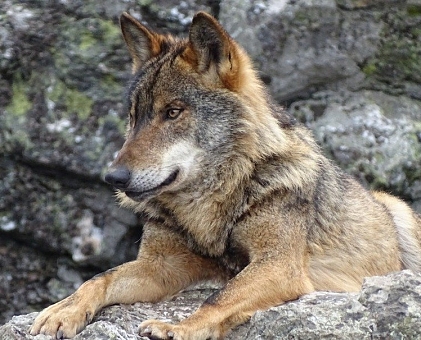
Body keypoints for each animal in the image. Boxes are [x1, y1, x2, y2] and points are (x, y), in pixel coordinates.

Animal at [29, 11, 420, 340]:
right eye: (134, 116)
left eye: (173, 112)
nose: (114, 178)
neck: (209, 208)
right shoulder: (161, 266)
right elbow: (100, 278)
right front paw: (64, 310)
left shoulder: (279, 265)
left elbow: (218, 297)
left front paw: (177, 329)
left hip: (399, 212)